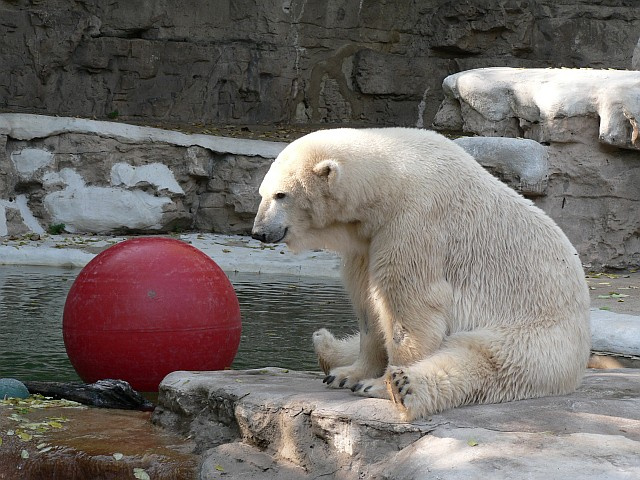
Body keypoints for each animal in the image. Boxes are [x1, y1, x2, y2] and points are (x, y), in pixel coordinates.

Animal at [251, 127, 591, 420]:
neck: (389, 179)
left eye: (281, 195)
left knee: (482, 359)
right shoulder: (366, 241)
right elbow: (368, 307)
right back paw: (327, 348)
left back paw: (404, 387)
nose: (259, 232)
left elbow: (410, 308)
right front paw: (349, 375)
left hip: (536, 334)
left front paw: (377, 383)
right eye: (261, 193)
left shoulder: (415, 221)